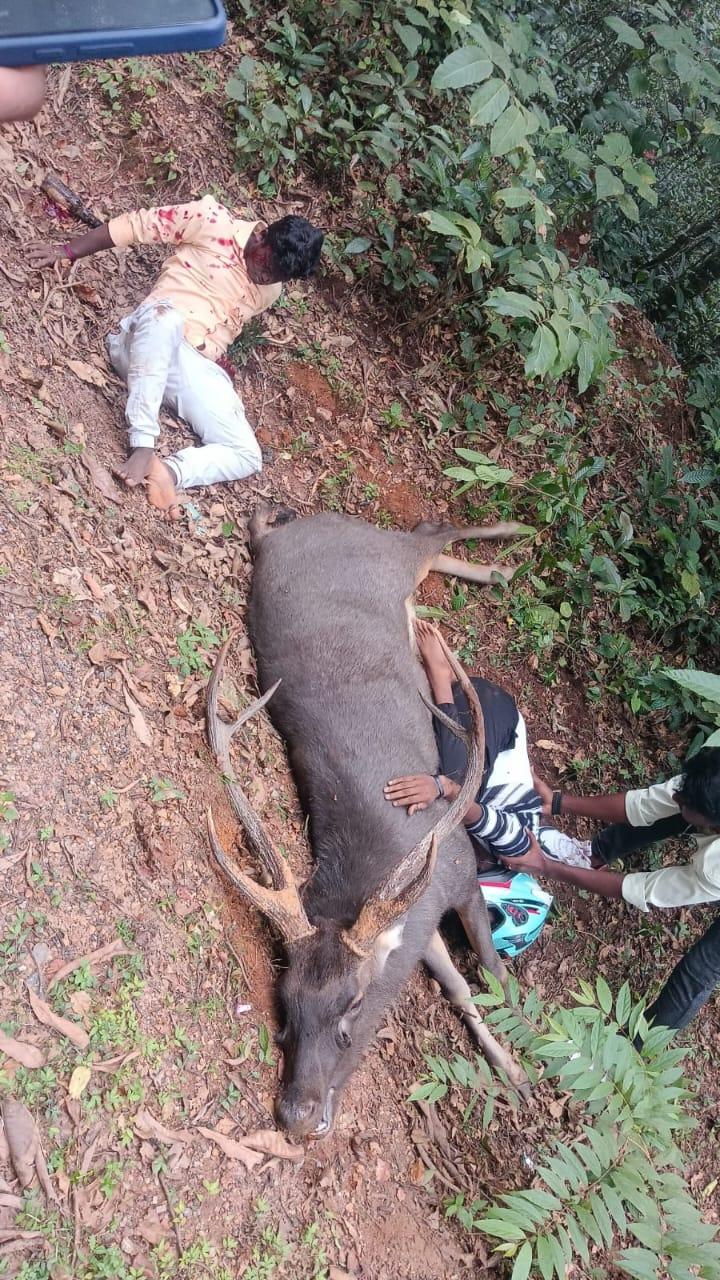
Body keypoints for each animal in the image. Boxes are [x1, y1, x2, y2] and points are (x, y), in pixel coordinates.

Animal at [207, 507, 528, 1139]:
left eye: (353, 1004)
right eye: (284, 1001)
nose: (297, 1115)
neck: (373, 866)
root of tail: (284, 535)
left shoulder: (460, 873)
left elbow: (493, 974)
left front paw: (530, 1058)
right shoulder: (421, 924)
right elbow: (459, 987)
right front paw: (514, 1067)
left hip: (383, 551)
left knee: (433, 532)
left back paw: (513, 538)